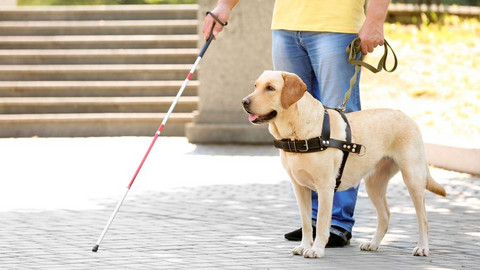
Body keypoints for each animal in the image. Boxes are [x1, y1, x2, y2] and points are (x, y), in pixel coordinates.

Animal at [242, 70, 448, 258]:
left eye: (270, 88)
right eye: (255, 86)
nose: (244, 102)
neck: (297, 133)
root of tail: (407, 117)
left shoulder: (325, 187)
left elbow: (322, 222)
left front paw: (316, 249)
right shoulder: (299, 187)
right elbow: (306, 222)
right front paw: (303, 246)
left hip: (413, 178)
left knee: (423, 219)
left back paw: (422, 247)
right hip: (374, 184)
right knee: (386, 216)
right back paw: (373, 244)